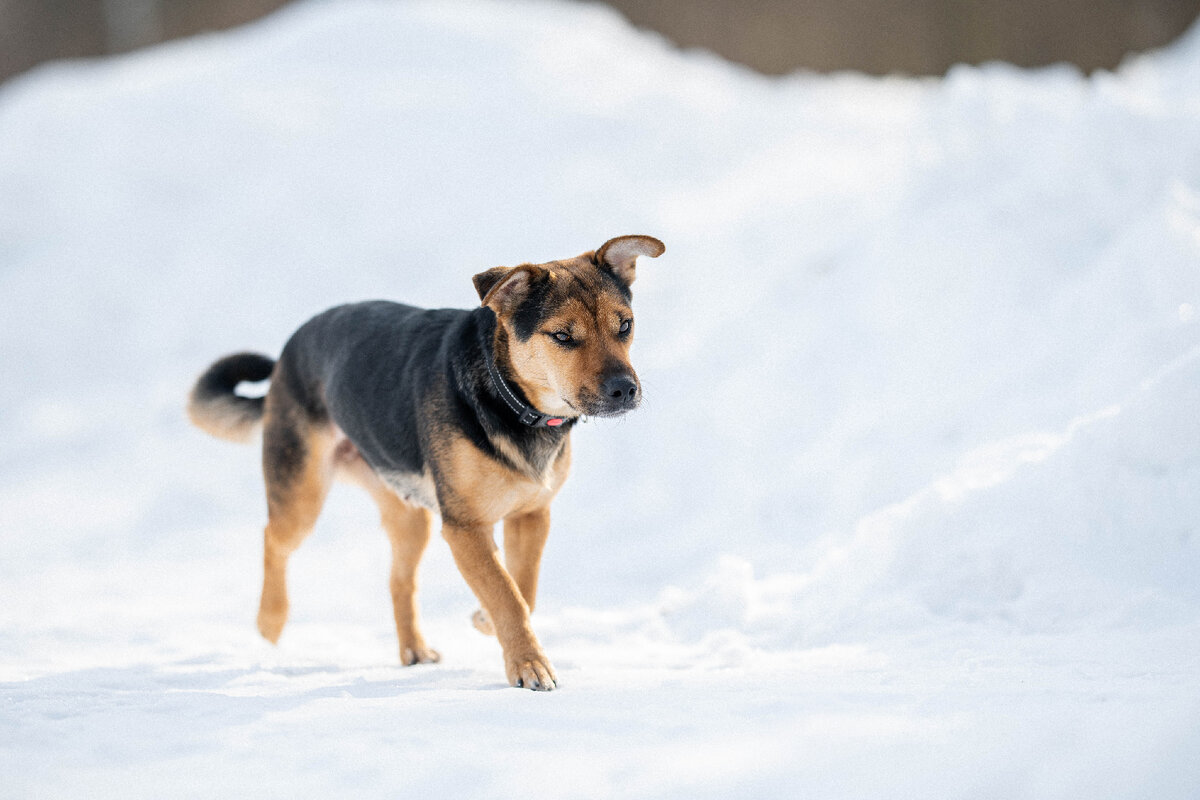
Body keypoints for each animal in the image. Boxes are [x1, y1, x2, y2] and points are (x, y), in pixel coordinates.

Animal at [187, 232, 667, 690]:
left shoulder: (531, 514)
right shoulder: (465, 526)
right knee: (273, 540)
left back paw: (413, 649)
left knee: (399, 580)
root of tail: (290, 349)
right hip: (301, 493)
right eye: (563, 336)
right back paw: (269, 625)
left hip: (409, 512)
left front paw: (486, 620)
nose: (625, 389)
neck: (509, 399)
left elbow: (522, 587)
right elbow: (506, 592)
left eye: (625, 326)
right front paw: (529, 667)